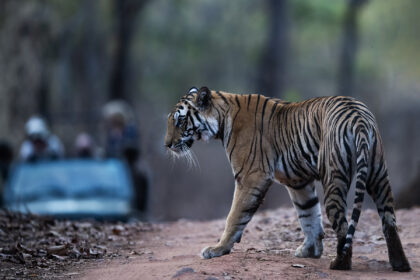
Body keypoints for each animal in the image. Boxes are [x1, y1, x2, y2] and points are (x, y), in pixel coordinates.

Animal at [164, 87, 410, 272]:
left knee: (342, 226)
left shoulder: (251, 176)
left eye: (180, 121)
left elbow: (234, 216)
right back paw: (400, 265)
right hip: (378, 175)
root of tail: (358, 117)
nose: (166, 145)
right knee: (389, 221)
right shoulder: (298, 182)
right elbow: (308, 215)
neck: (223, 117)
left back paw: (340, 263)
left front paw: (218, 249)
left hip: (334, 179)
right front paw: (310, 251)